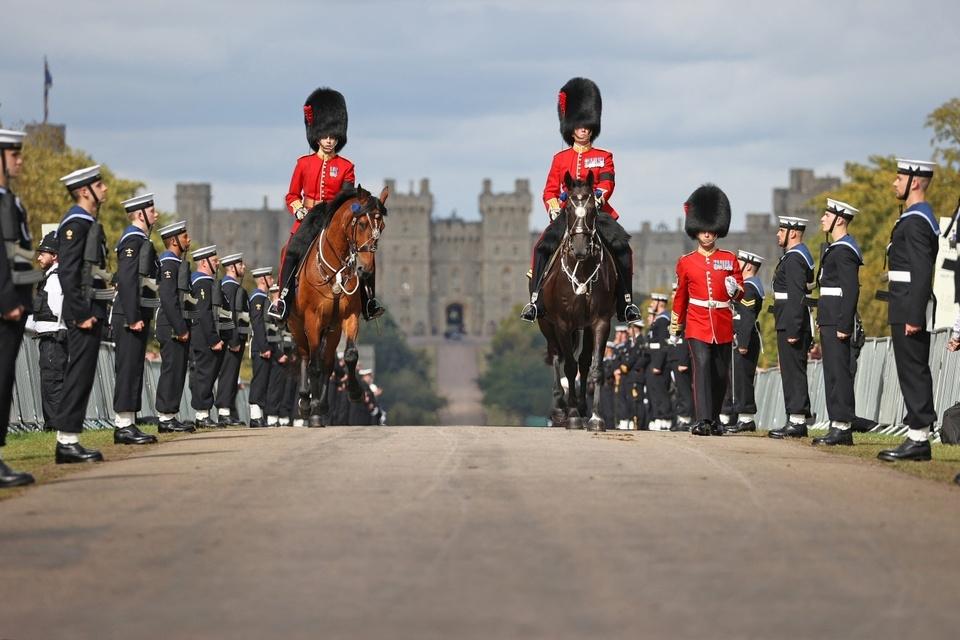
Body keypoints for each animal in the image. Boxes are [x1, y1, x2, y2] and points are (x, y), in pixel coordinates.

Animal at [286, 184, 388, 424]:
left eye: (382, 226)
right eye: (362, 224)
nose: (365, 269)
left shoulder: (348, 317)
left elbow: (349, 355)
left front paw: (355, 391)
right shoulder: (312, 319)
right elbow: (313, 365)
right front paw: (312, 409)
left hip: (332, 329)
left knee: (328, 361)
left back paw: (321, 405)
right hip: (297, 325)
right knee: (305, 356)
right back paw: (306, 403)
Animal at [536, 174, 620, 430]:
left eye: (592, 208)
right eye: (569, 209)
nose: (581, 248)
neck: (582, 270)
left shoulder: (600, 322)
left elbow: (594, 367)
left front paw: (595, 417)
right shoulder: (563, 323)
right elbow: (569, 367)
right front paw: (571, 415)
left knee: (582, 362)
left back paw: (582, 408)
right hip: (547, 325)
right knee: (557, 357)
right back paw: (560, 410)